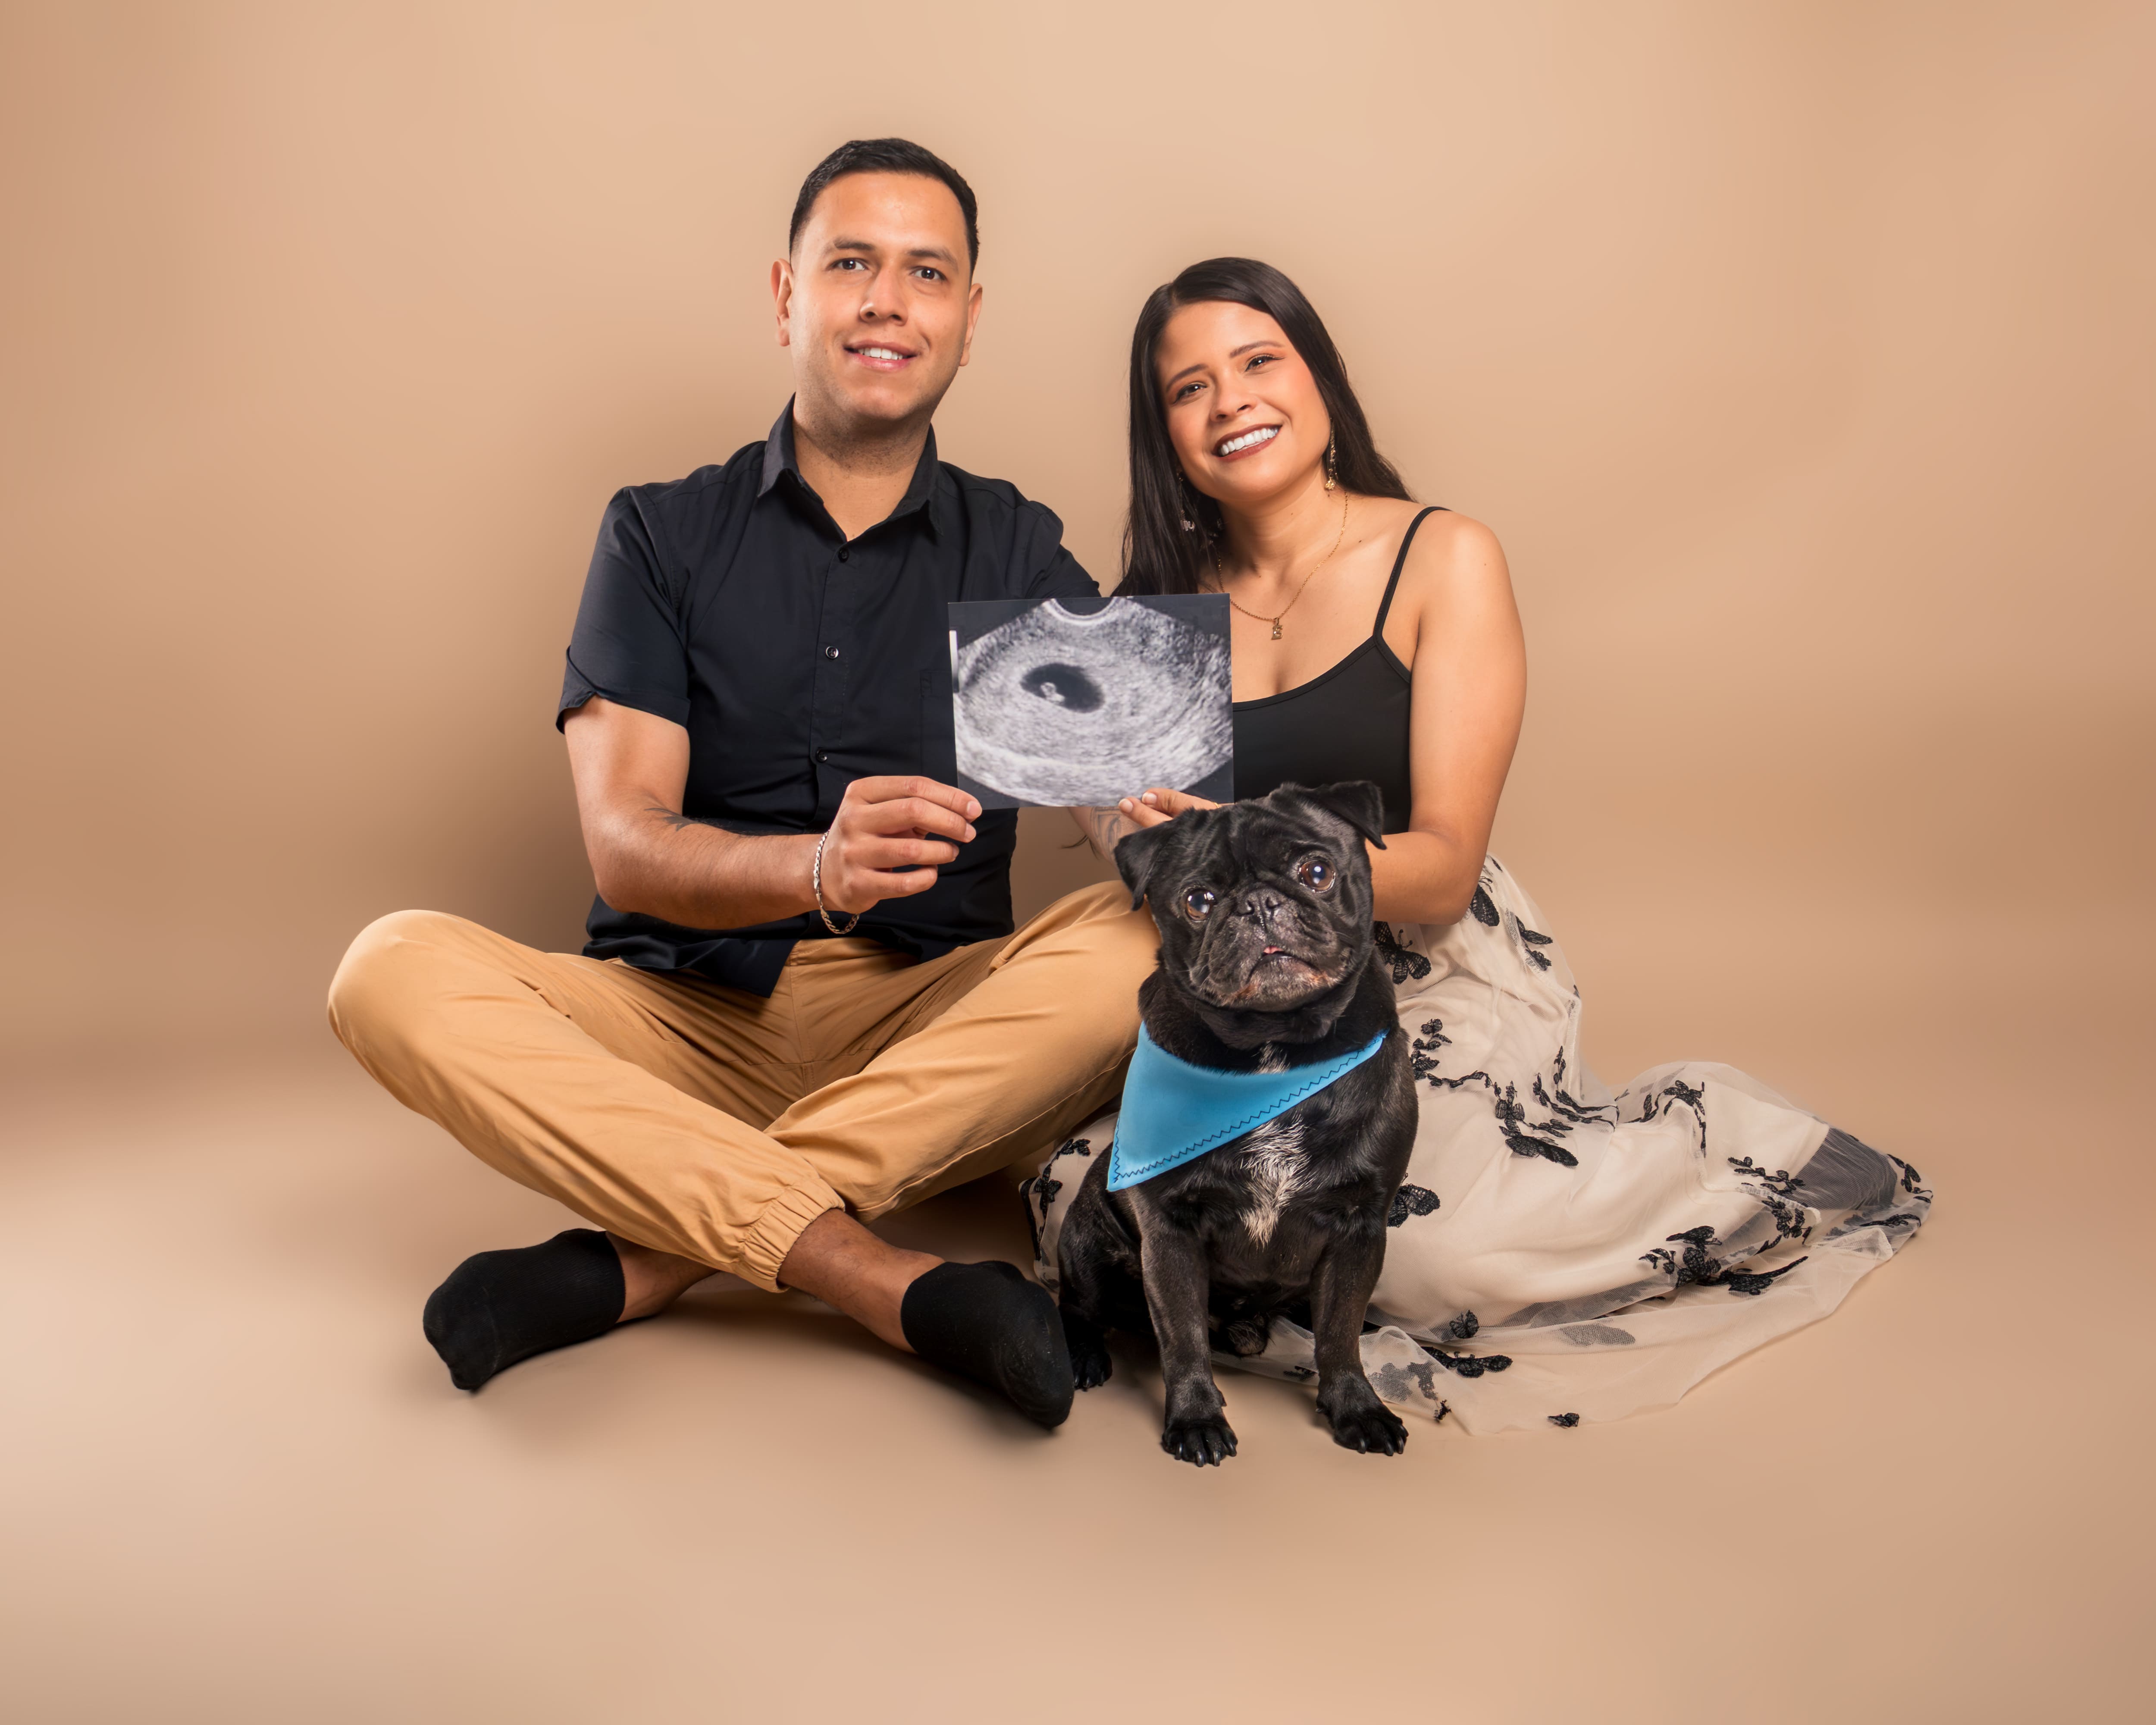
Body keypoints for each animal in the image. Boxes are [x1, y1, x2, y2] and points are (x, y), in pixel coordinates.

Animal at [1054, 782, 1418, 1465]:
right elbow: (1182, 1335)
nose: (1258, 904)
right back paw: (1083, 1354)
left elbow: (1340, 1333)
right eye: (1198, 901)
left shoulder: (1359, 1227)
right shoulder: (1170, 1229)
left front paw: (1356, 1407)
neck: (1277, 1048)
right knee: (1081, 1307)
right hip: (1087, 1245)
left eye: (1316, 872)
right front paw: (1196, 1419)